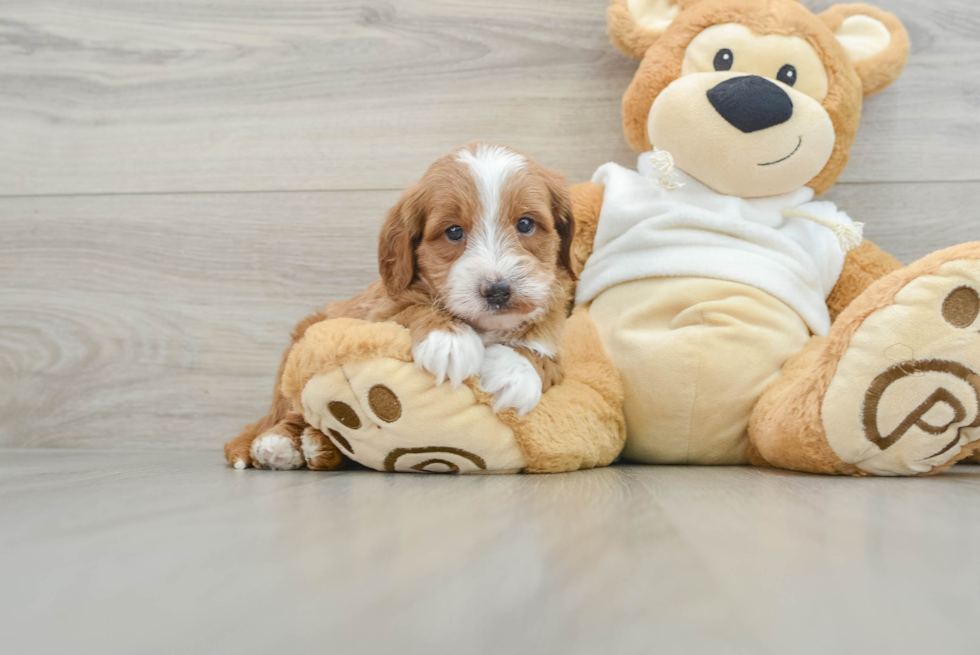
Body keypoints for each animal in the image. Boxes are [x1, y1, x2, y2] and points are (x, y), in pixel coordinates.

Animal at [226, 144, 580, 472]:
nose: (497, 290)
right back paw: (282, 445)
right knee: (291, 413)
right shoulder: (381, 308)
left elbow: (547, 351)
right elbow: (411, 308)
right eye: (454, 231)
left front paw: (514, 371)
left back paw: (318, 446)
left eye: (525, 224)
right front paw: (448, 341)